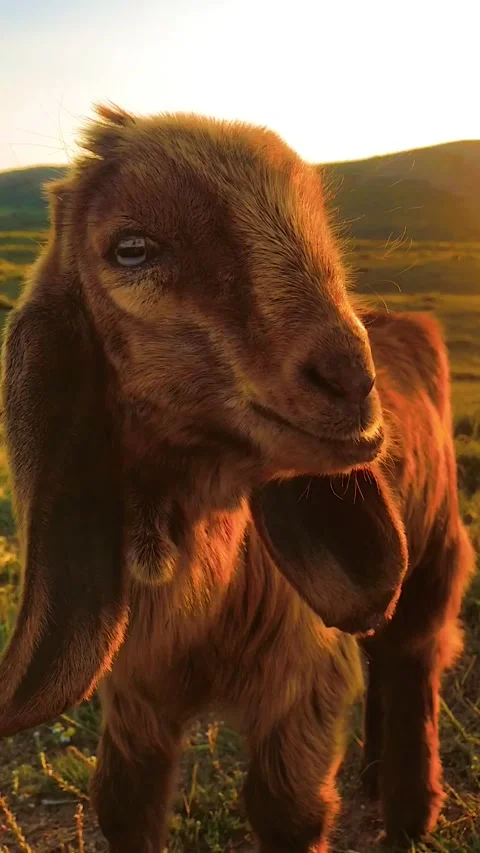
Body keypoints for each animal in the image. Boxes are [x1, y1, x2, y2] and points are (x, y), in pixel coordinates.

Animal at [0, 105, 474, 852]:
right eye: (131, 249)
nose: (351, 379)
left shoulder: (301, 682)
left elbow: (286, 809)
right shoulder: (134, 694)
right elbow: (122, 804)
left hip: (435, 555)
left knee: (413, 660)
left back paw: (408, 816)